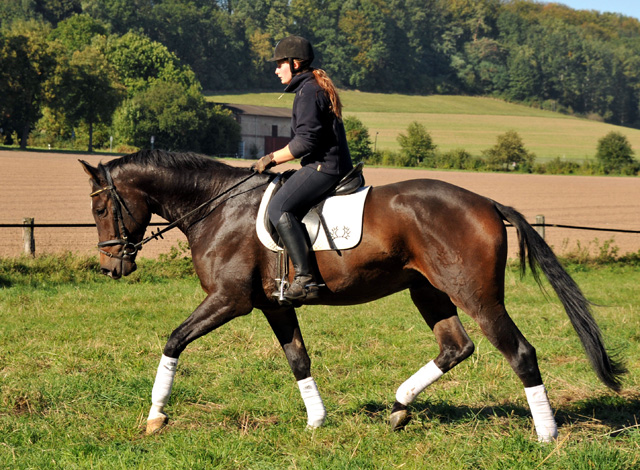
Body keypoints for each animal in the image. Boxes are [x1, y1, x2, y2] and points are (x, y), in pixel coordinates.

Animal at [80, 150, 624, 440]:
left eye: (102, 208)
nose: (111, 266)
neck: (217, 209)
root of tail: (487, 202)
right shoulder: (275, 305)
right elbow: (298, 359)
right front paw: (317, 421)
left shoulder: (229, 301)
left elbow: (174, 340)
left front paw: (155, 415)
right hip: (429, 292)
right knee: (456, 347)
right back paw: (399, 407)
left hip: (477, 296)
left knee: (520, 352)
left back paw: (546, 434)